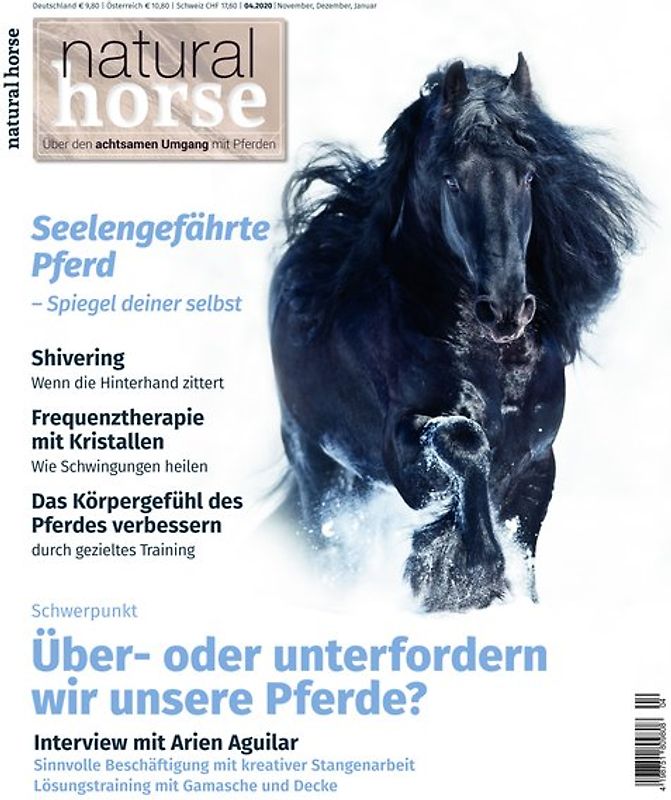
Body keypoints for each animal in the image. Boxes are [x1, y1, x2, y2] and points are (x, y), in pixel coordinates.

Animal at [269, 53, 641, 611]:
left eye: (528, 176)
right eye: (451, 180)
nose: (505, 309)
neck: (494, 364)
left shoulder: (536, 462)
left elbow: (523, 547)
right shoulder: (405, 457)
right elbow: (462, 443)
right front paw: (464, 573)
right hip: (322, 472)